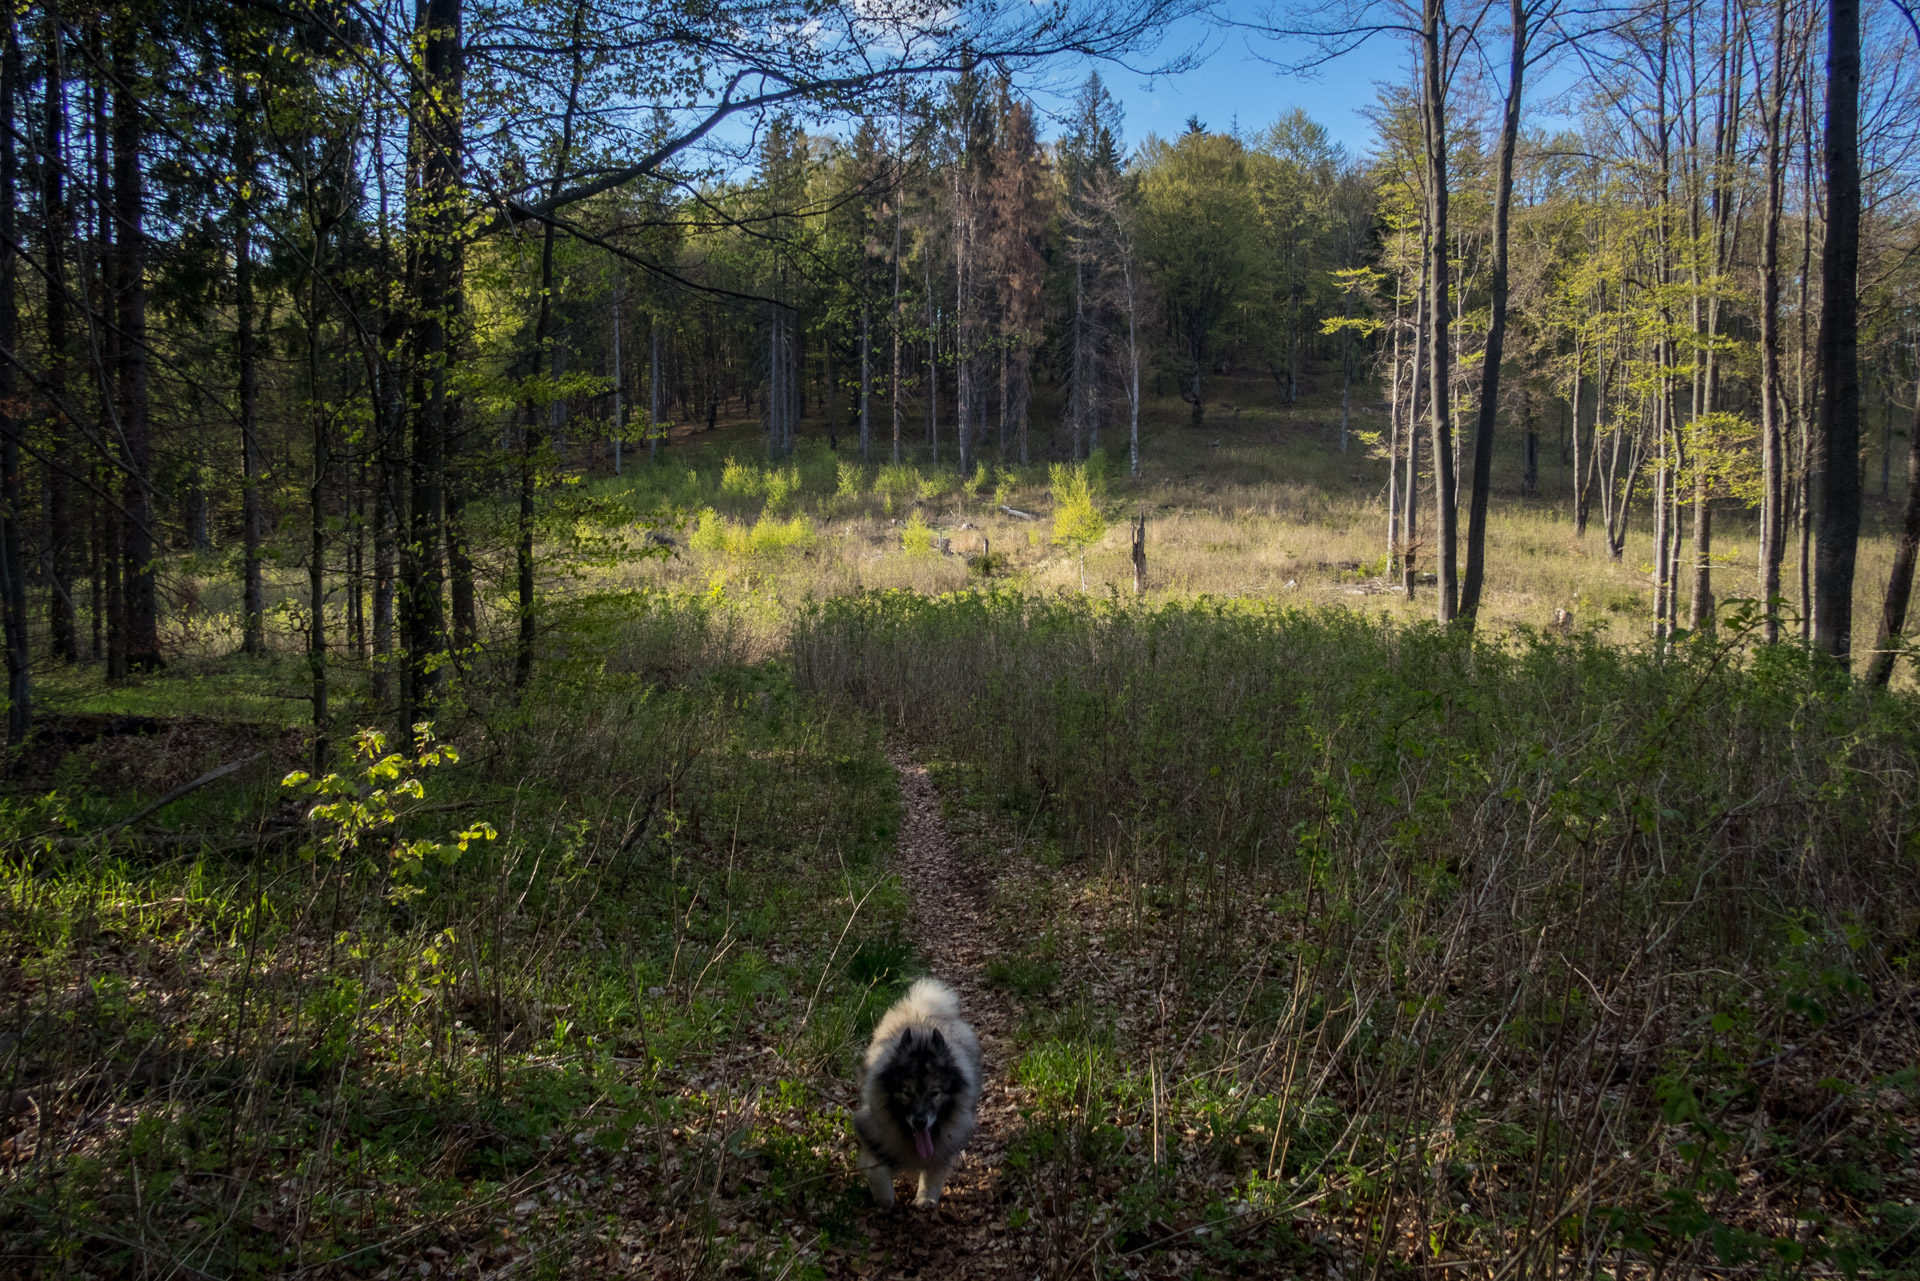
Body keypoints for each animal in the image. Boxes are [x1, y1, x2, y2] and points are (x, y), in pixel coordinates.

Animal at [852, 983, 975, 1213]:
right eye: (907, 1093)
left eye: (935, 1093)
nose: (920, 1122)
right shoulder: (871, 1132)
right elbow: (877, 1171)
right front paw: (885, 1200)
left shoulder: (944, 1144)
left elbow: (933, 1172)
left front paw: (925, 1198)